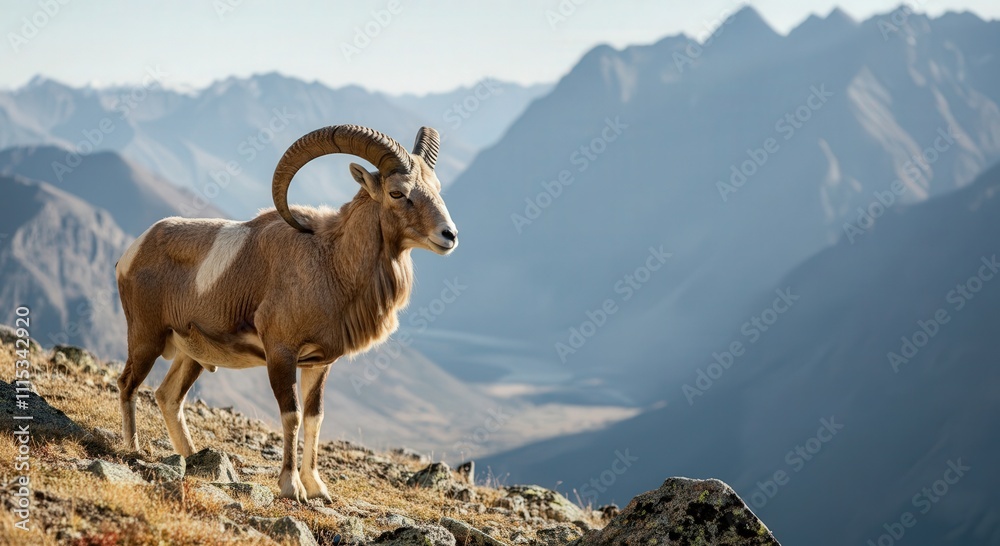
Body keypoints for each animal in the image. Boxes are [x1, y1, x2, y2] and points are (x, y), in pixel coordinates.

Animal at [114, 125, 458, 502]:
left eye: (436, 188)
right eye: (398, 193)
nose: (449, 235)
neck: (330, 263)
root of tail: (133, 251)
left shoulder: (319, 364)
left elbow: (314, 418)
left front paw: (317, 488)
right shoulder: (281, 354)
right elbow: (291, 415)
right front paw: (292, 487)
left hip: (191, 356)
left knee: (168, 397)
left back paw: (193, 458)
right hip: (145, 339)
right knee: (128, 384)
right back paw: (132, 449)